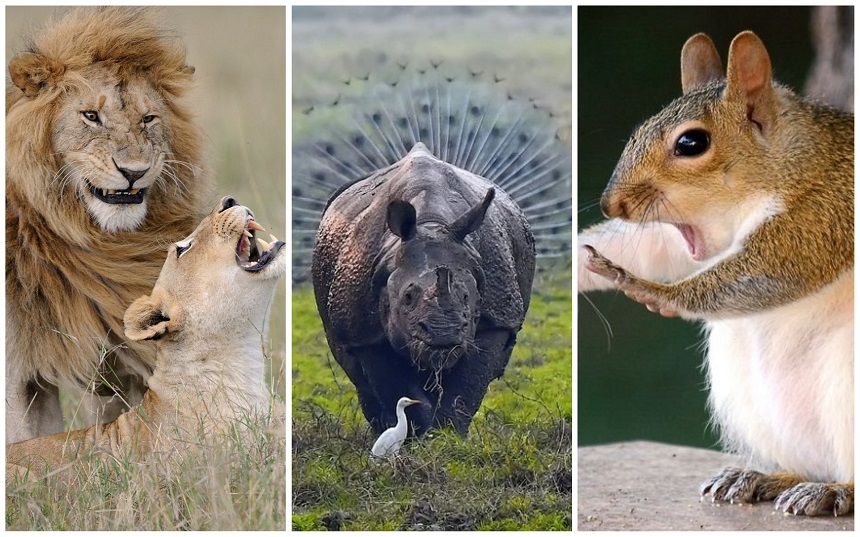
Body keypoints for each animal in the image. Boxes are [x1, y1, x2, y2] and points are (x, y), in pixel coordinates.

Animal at [576, 30, 852, 516]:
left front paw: (649, 290)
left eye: (691, 143)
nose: (612, 204)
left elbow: (776, 270)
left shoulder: (824, 214)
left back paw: (833, 491)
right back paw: (766, 477)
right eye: (638, 130)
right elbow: (651, 248)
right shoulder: (690, 237)